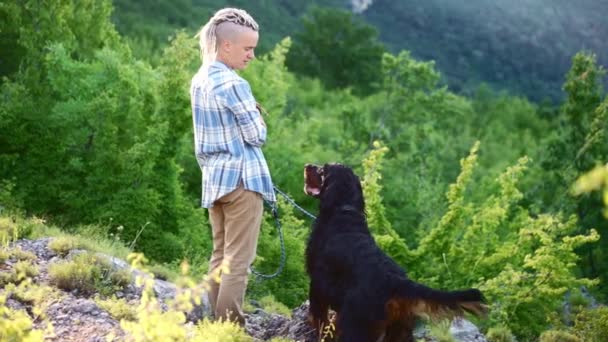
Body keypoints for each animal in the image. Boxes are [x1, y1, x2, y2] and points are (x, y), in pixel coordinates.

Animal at [304, 164, 490, 342]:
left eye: (322, 169)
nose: (308, 165)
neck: (344, 210)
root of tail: (395, 281)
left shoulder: (318, 283)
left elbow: (318, 316)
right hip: (399, 329)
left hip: (356, 326)